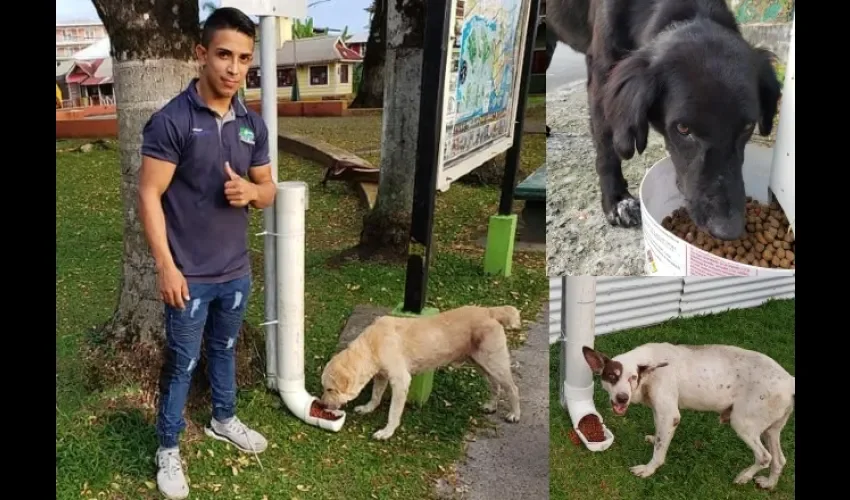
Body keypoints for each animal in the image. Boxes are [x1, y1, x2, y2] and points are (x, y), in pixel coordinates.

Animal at [548, 0, 780, 240]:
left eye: (747, 126)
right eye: (683, 128)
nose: (728, 230)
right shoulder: (602, 79)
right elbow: (607, 149)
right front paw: (617, 201)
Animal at [580, 344, 792, 488]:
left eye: (633, 377)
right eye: (612, 376)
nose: (622, 398)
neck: (650, 368)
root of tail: (790, 380)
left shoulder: (670, 415)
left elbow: (659, 452)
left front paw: (648, 470)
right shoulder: (660, 412)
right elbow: (659, 437)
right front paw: (654, 439)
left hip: (742, 424)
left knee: (765, 457)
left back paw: (744, 476)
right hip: (770, 430)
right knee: (779, 460)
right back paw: (769, 483)